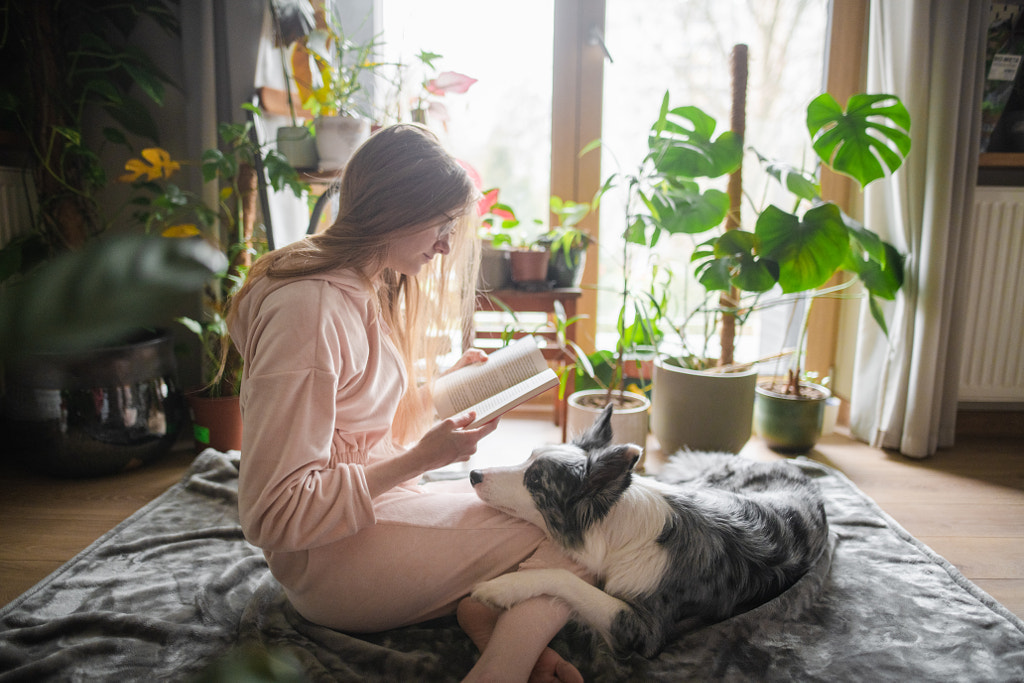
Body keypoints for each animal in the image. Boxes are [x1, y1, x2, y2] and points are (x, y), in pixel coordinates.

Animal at [468, 405, 827, 655]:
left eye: (534, 482)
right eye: (526, 458)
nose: (473, 474)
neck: (616, 528)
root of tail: (793, 466)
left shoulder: (645, 630)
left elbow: (563, 578)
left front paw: (501, 588)